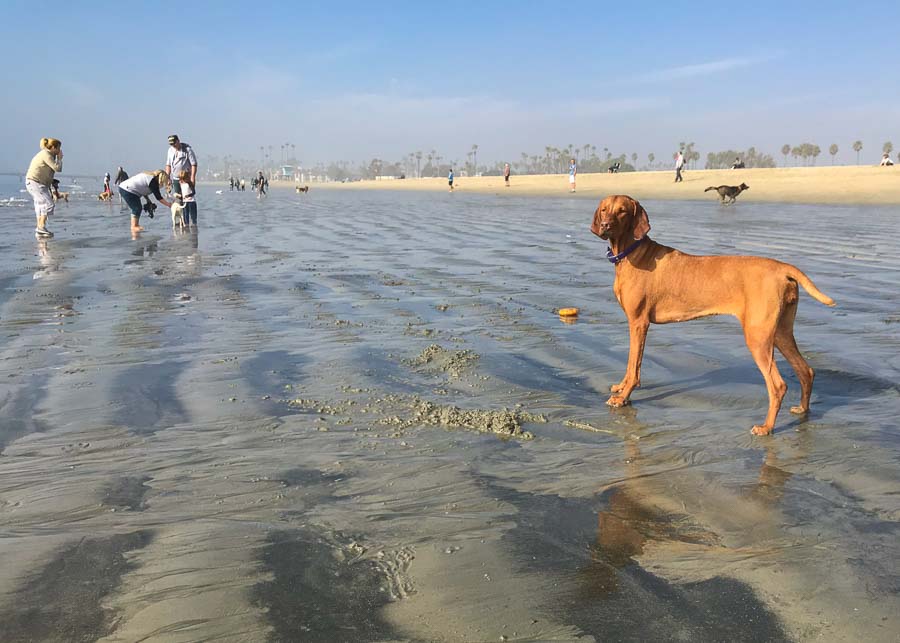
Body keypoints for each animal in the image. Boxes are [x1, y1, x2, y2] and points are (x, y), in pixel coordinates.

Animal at [592, 196, 836, 438]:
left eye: (622, 211)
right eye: (604, 210)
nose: (605, 225)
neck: (631, 252)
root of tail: (782, 269)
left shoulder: (639, 323)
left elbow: (634, 365)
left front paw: (623, 398)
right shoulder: (636, 324)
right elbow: (630, 365)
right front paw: (620, 387)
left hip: (757, 336)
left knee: (777, 385)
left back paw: (766, 427)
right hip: (780, 332)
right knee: (806, 370)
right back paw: (803, 409)